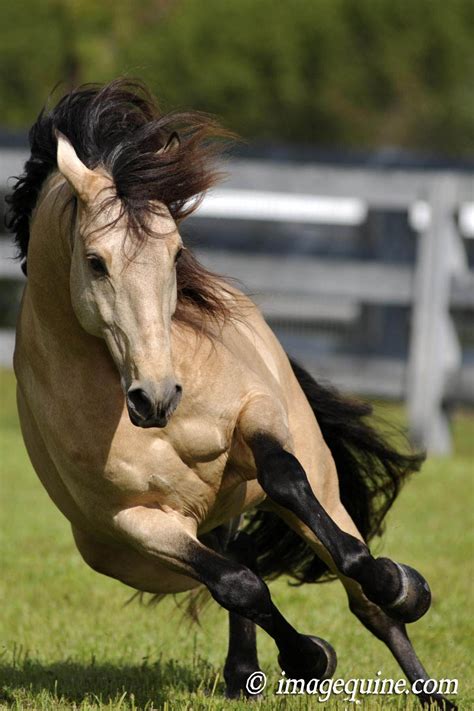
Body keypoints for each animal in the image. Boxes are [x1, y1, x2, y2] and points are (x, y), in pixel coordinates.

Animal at [8, 79, 455, 709]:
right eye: (96, 263)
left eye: (175, 254)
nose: (156, 396)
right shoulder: (135, 521)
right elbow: (239, 587)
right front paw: (309, 656)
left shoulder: (257, 415)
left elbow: (292, 487)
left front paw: (400, 583)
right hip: (151, 553)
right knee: (239, 564)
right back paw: (249, 671)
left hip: (314, 476)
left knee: (361, 593)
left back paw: (428, 674)